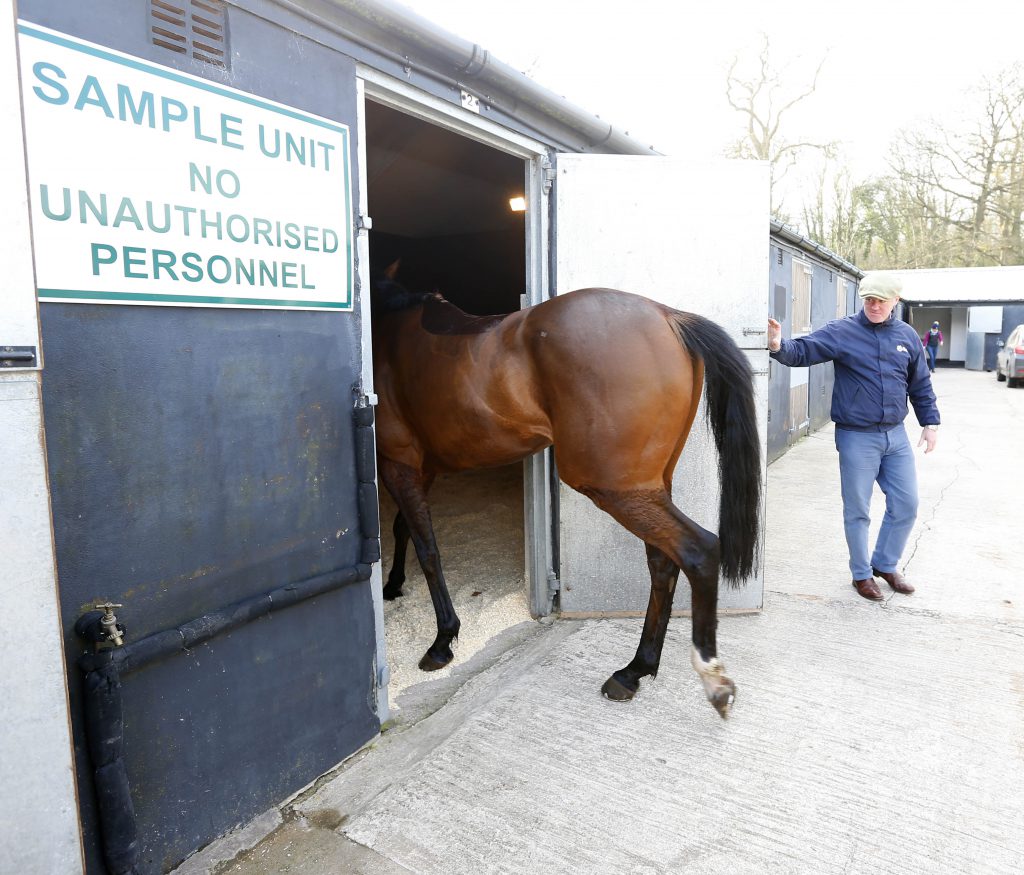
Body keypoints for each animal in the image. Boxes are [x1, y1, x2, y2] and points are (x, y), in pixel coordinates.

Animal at [372, 268, 757, 721]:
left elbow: (428, 549)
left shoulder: (398, 464)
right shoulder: (421, 467)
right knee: (664, 562)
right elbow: (404, 529)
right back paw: (634, 670)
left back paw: (712, 678)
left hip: (619, 490)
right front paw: (394, 584)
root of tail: (668, 316)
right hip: (648, 486)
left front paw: (442, 640)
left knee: (698, 551)